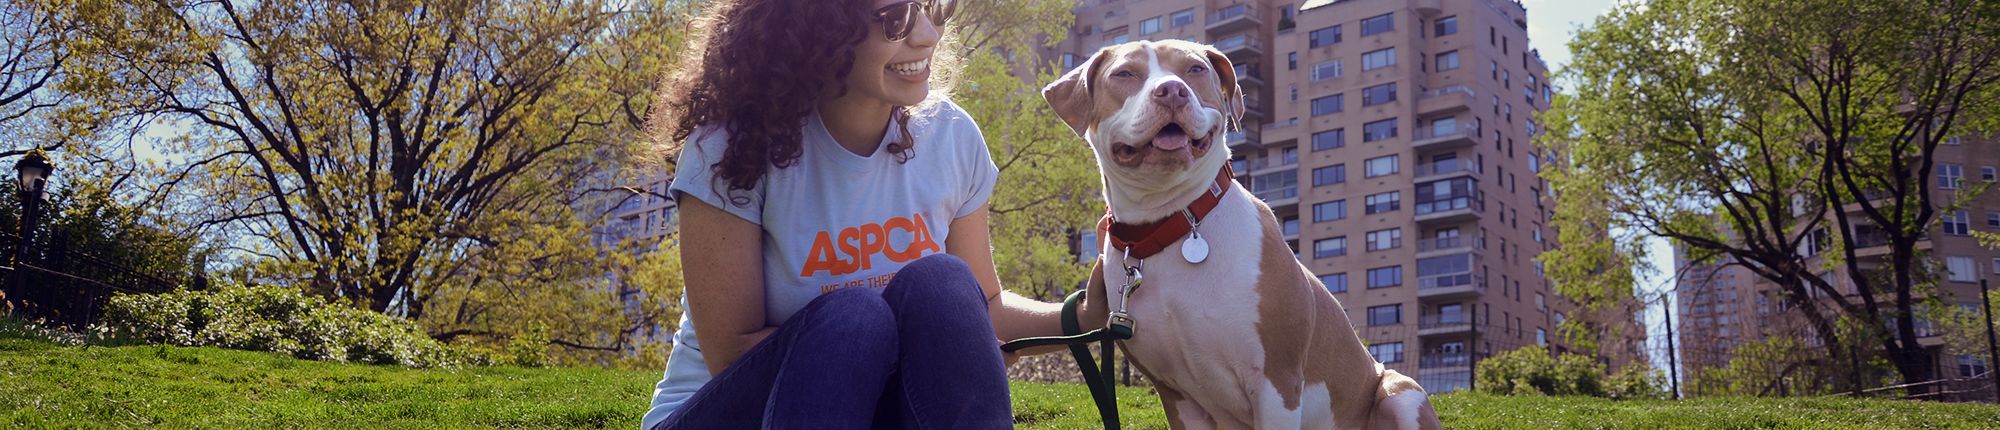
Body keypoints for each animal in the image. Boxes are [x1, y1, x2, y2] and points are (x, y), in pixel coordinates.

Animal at [1044, 40, 1442, 430]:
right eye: (1124, 73)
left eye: (1195, 69)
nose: (1171, 90)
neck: (1171, 224)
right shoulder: (1177, 396)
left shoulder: (1277, 380)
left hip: (1400, 392)